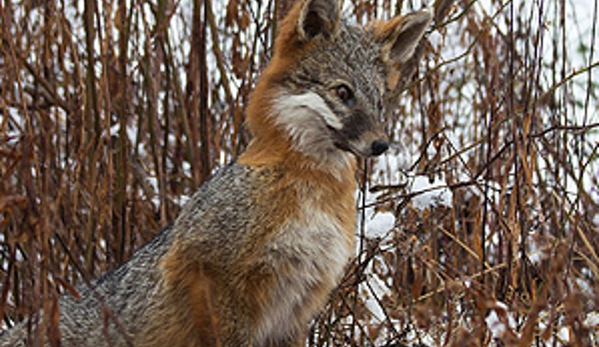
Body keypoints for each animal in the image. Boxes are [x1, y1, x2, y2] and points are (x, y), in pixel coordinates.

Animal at [0, 0, 432, 346]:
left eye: (379, 101)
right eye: (343, 92)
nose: (381, 144)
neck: (309, 196)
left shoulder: (297, 306)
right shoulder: (215, 278)